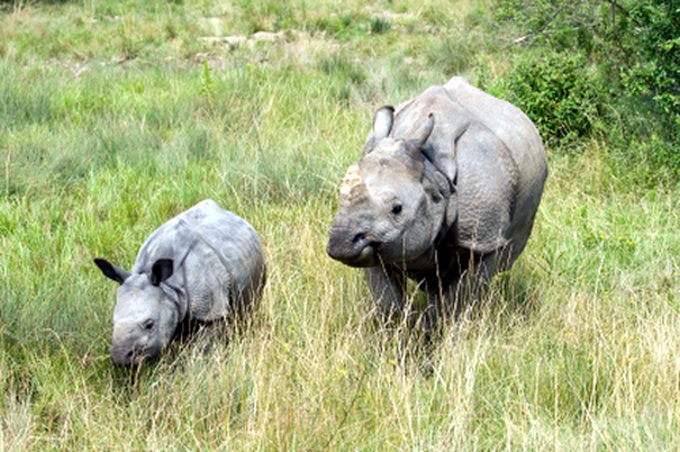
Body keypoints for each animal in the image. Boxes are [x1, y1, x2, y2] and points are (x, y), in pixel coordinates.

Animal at [94, 199, 266, 366]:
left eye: (149, 325)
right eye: (113, 322)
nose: (120, 357)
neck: (169, 288)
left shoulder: (212, 311)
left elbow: (204, 347)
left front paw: (199, 365)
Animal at [327, 77, 548, 329]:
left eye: (397, 209)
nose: (342, 243)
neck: (431, 171)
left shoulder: (481, 240)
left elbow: (461, 303)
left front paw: (452, 331)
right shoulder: (376, 249)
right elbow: (388, 305)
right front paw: (400, 335)